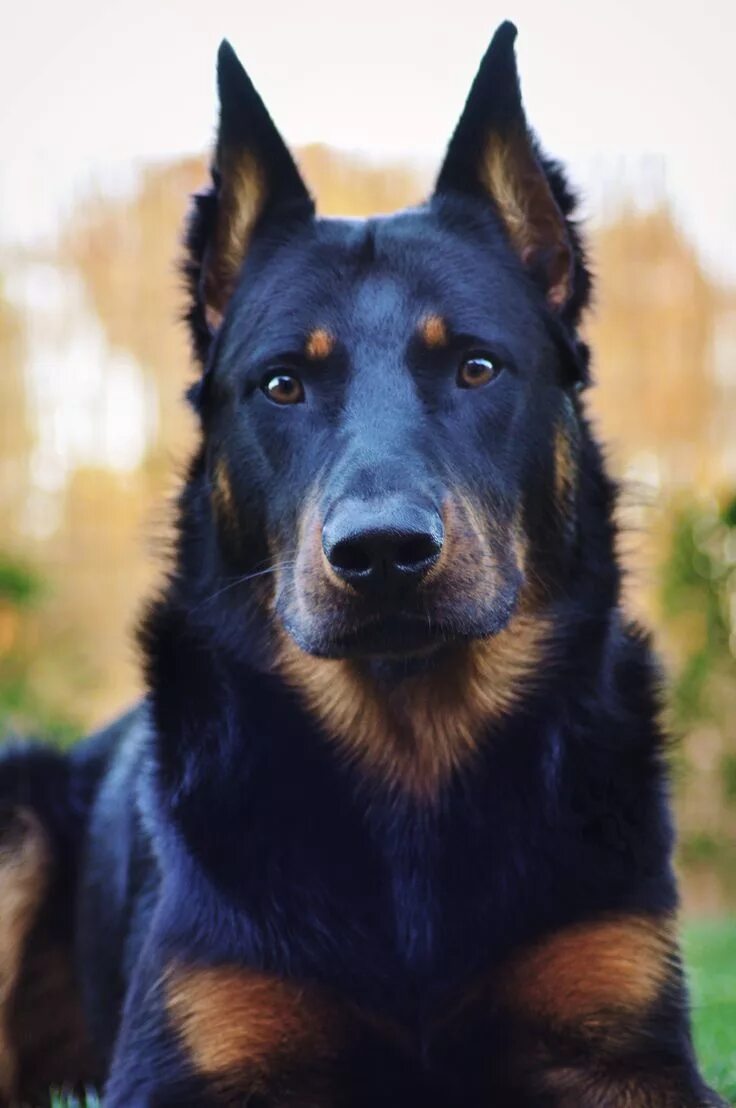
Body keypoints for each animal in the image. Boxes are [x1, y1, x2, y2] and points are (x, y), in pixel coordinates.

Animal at [0, 19, 727, 1108]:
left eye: (477, 366)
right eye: (281, 384)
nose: (382, 553)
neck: (410, 754)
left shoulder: (628, 1048)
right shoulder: (185, 1061)